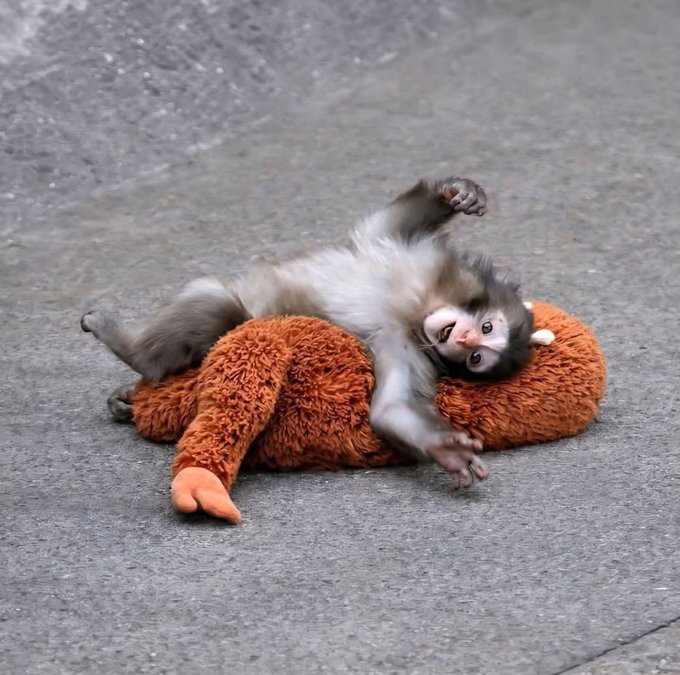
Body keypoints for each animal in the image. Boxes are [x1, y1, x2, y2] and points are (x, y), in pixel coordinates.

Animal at [82, 176, 534, 487]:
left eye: (477, 357)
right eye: (485, 327)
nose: (463, 340)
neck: (418, 306)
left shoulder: (403, 342)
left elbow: (391, 409)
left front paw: (445, 450)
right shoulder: (417, 259)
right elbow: (381, 227)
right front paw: (457, 192)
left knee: (217, 305)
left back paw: (132, 353)